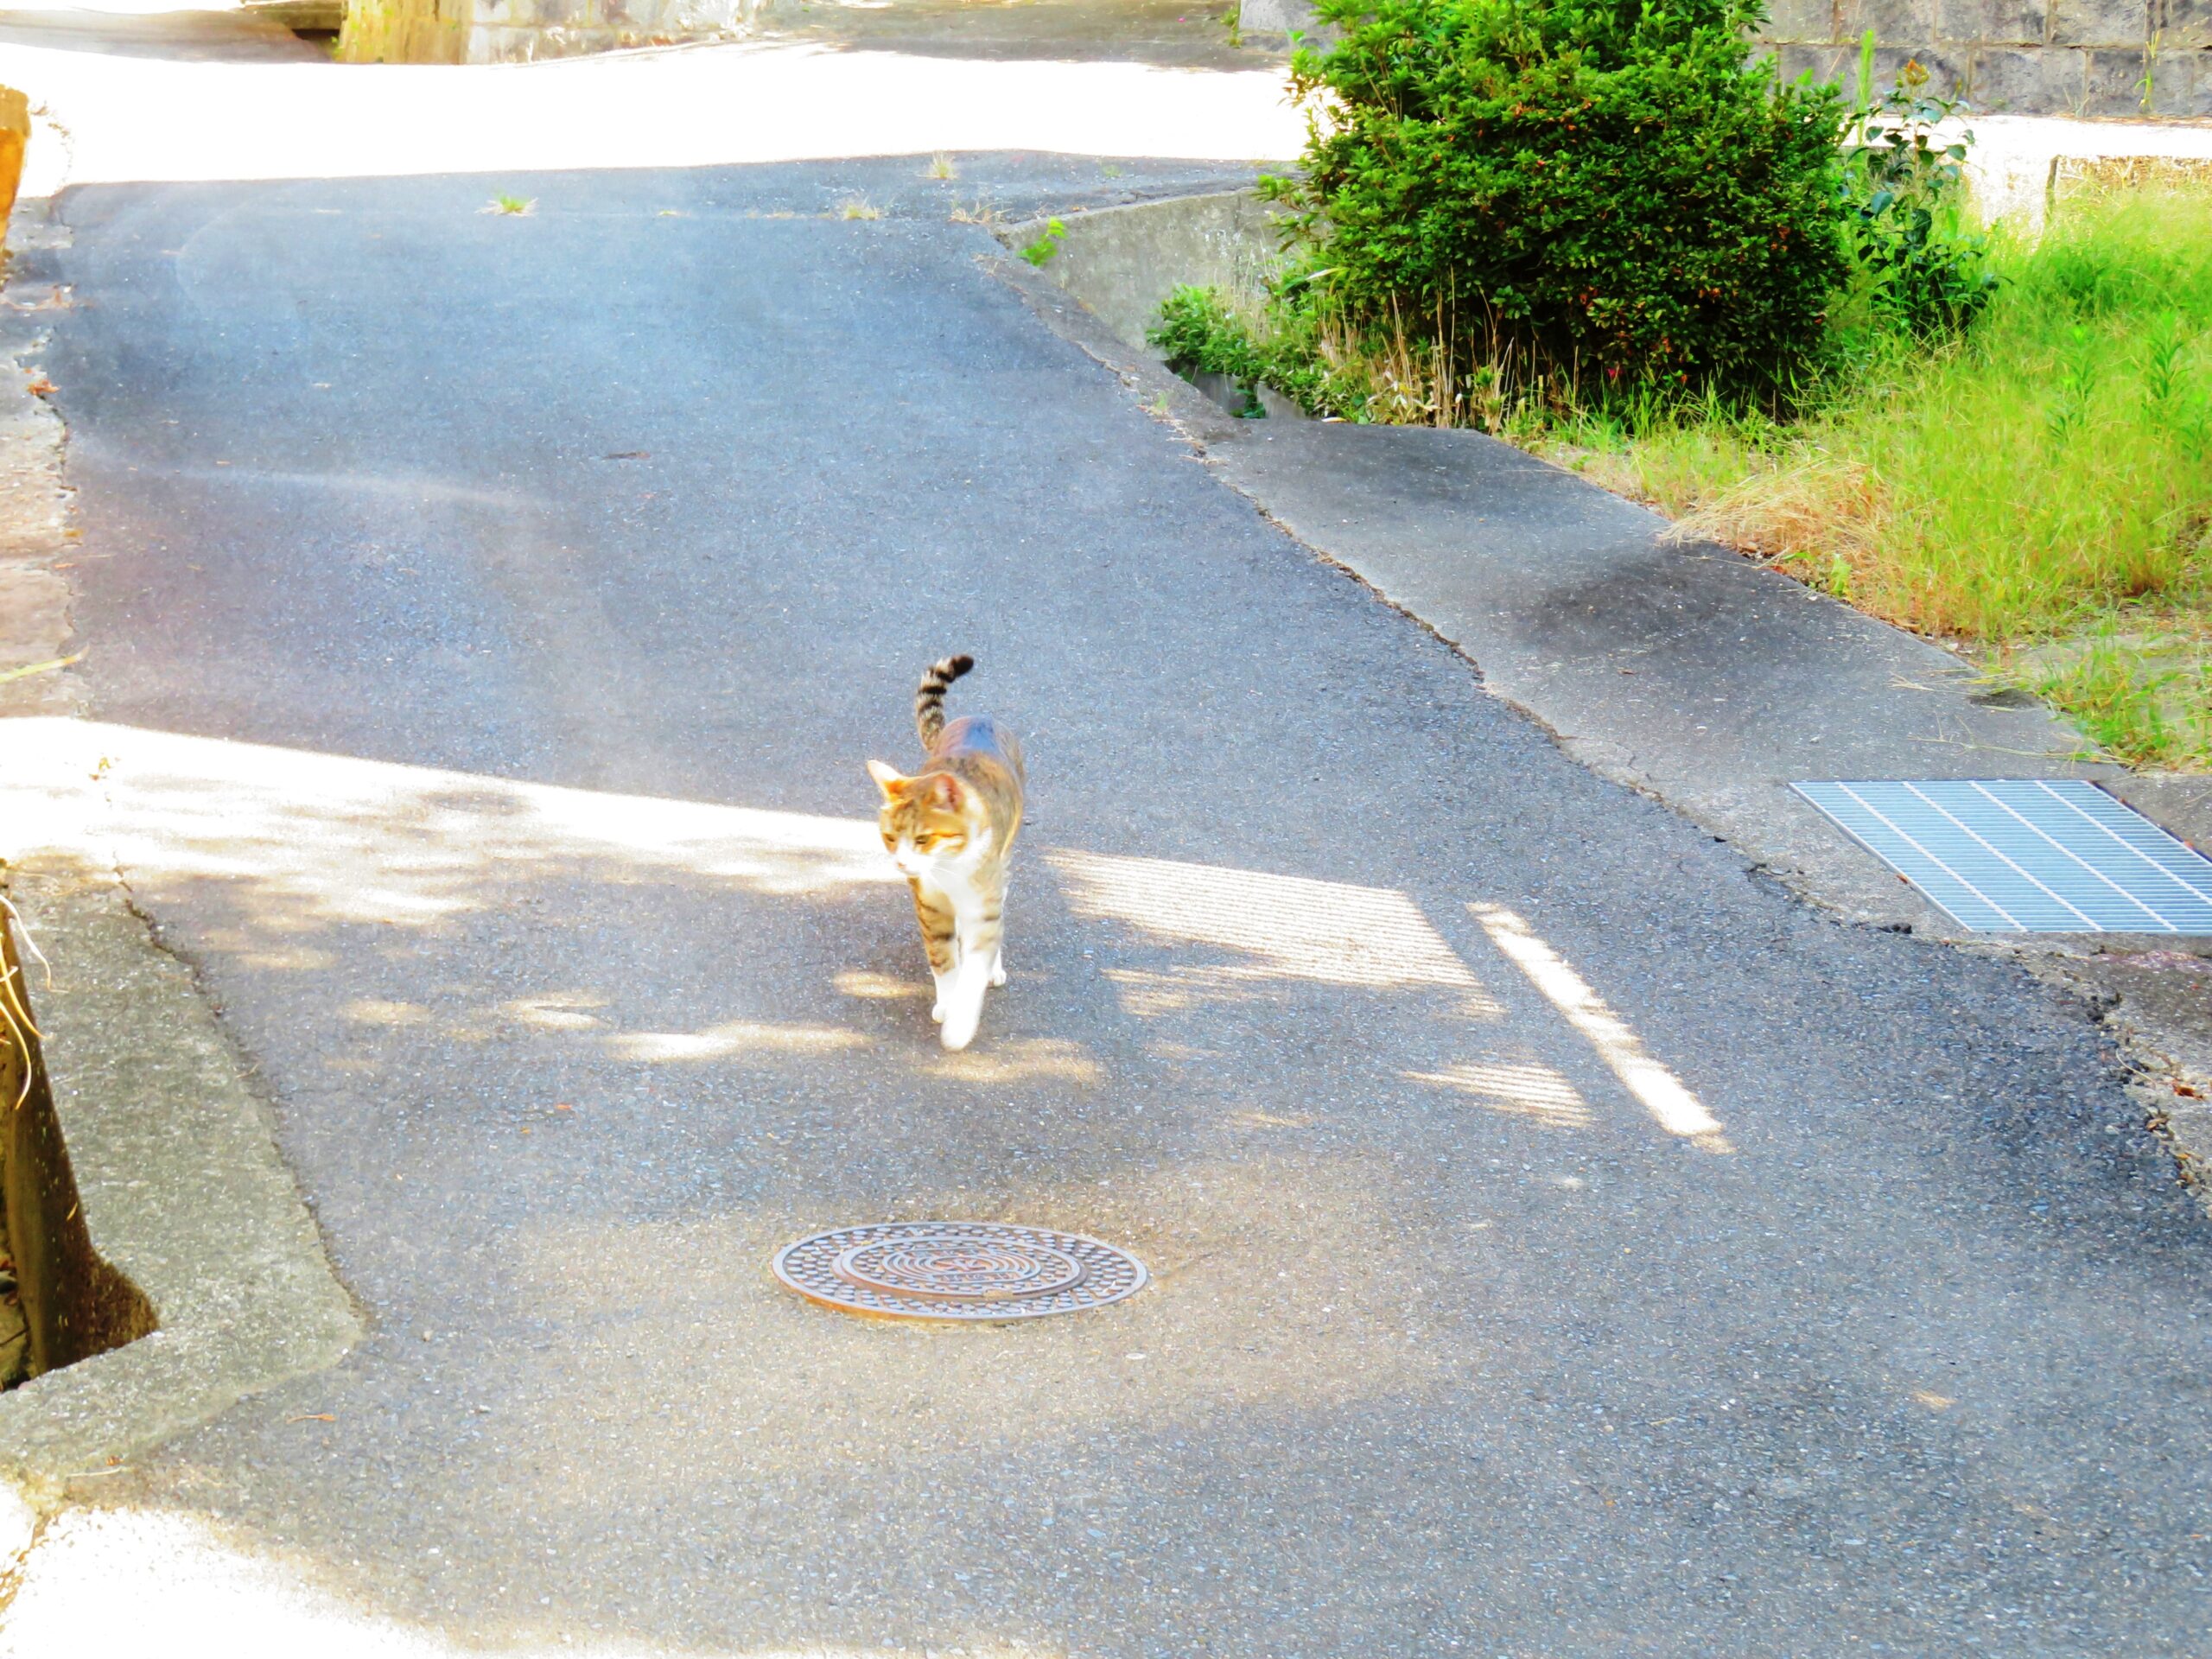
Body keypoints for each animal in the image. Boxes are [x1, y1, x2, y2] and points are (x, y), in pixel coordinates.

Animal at [871, 654, 1026, 1052]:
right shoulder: (929, 904)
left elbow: (975, 965)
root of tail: (979, 717)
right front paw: (948, 1001)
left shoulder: (983, 906)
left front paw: (959, 1025)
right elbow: (942, 959)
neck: (949, 868)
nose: (901, 863)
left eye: (923, 839)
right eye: (890, 838)